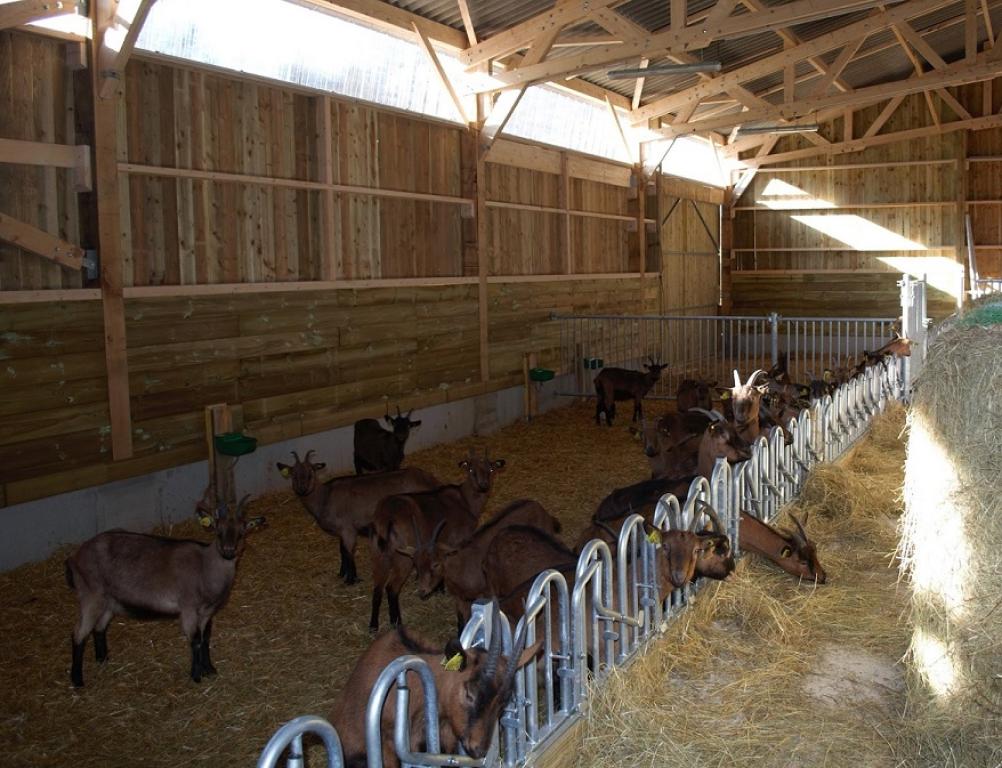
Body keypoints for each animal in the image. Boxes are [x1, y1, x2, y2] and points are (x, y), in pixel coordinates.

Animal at [65, 496, 257, 687]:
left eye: (242, 533)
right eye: (218, 532)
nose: (229, 551)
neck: (205, 566)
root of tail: (75, 557)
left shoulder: (206, 612)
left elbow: (205, 638)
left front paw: (209, 669)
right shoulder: (188, 608)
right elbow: (195, 640)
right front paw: (196, 676)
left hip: (110, 601)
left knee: (99, 627)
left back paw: (102, 660)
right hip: (91, 595)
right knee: (79, 633)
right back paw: (77, 680)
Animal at [276, 450, 439, 585]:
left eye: (311, 473)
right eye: (293, 475)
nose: (302, 489)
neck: (325, 497)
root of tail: (431, 480)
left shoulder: (347, 528)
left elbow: (348, 552)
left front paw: (351, 579)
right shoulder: (342, 531)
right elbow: (342, 550)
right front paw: (342, 574)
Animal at [369, 449, 505, 633]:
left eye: (491, 469)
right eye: (471, 470)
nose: (483, 486)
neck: (465, 500)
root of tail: (386, 516)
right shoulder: (455, 540)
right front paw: (441, 588)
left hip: (378, 553)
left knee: (377, 588)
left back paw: (373, 626)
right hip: (402, 556)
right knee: (391, 588)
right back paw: (396, 622)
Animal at [407, 499, 562, 631]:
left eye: (435, 564)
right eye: (416, 564)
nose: (422, 591)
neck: (460, 564)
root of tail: (543, 511)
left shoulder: (484, 593)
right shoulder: (459, 598)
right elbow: (462, 622)